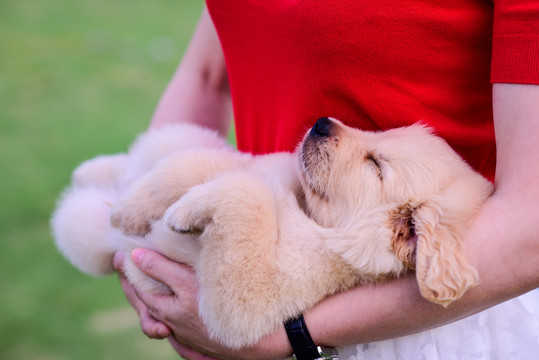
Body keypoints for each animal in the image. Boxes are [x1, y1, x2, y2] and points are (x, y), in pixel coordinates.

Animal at [51, 117, 494, 348]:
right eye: (379, 134)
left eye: (376, 165)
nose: (321, 122)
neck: (309, 215)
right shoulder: (257, 163)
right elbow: (197, 170)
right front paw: (134, 211)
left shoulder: (241, 305)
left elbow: (245, 194)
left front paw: (176, 214)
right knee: (154, 153)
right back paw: (97, 176)